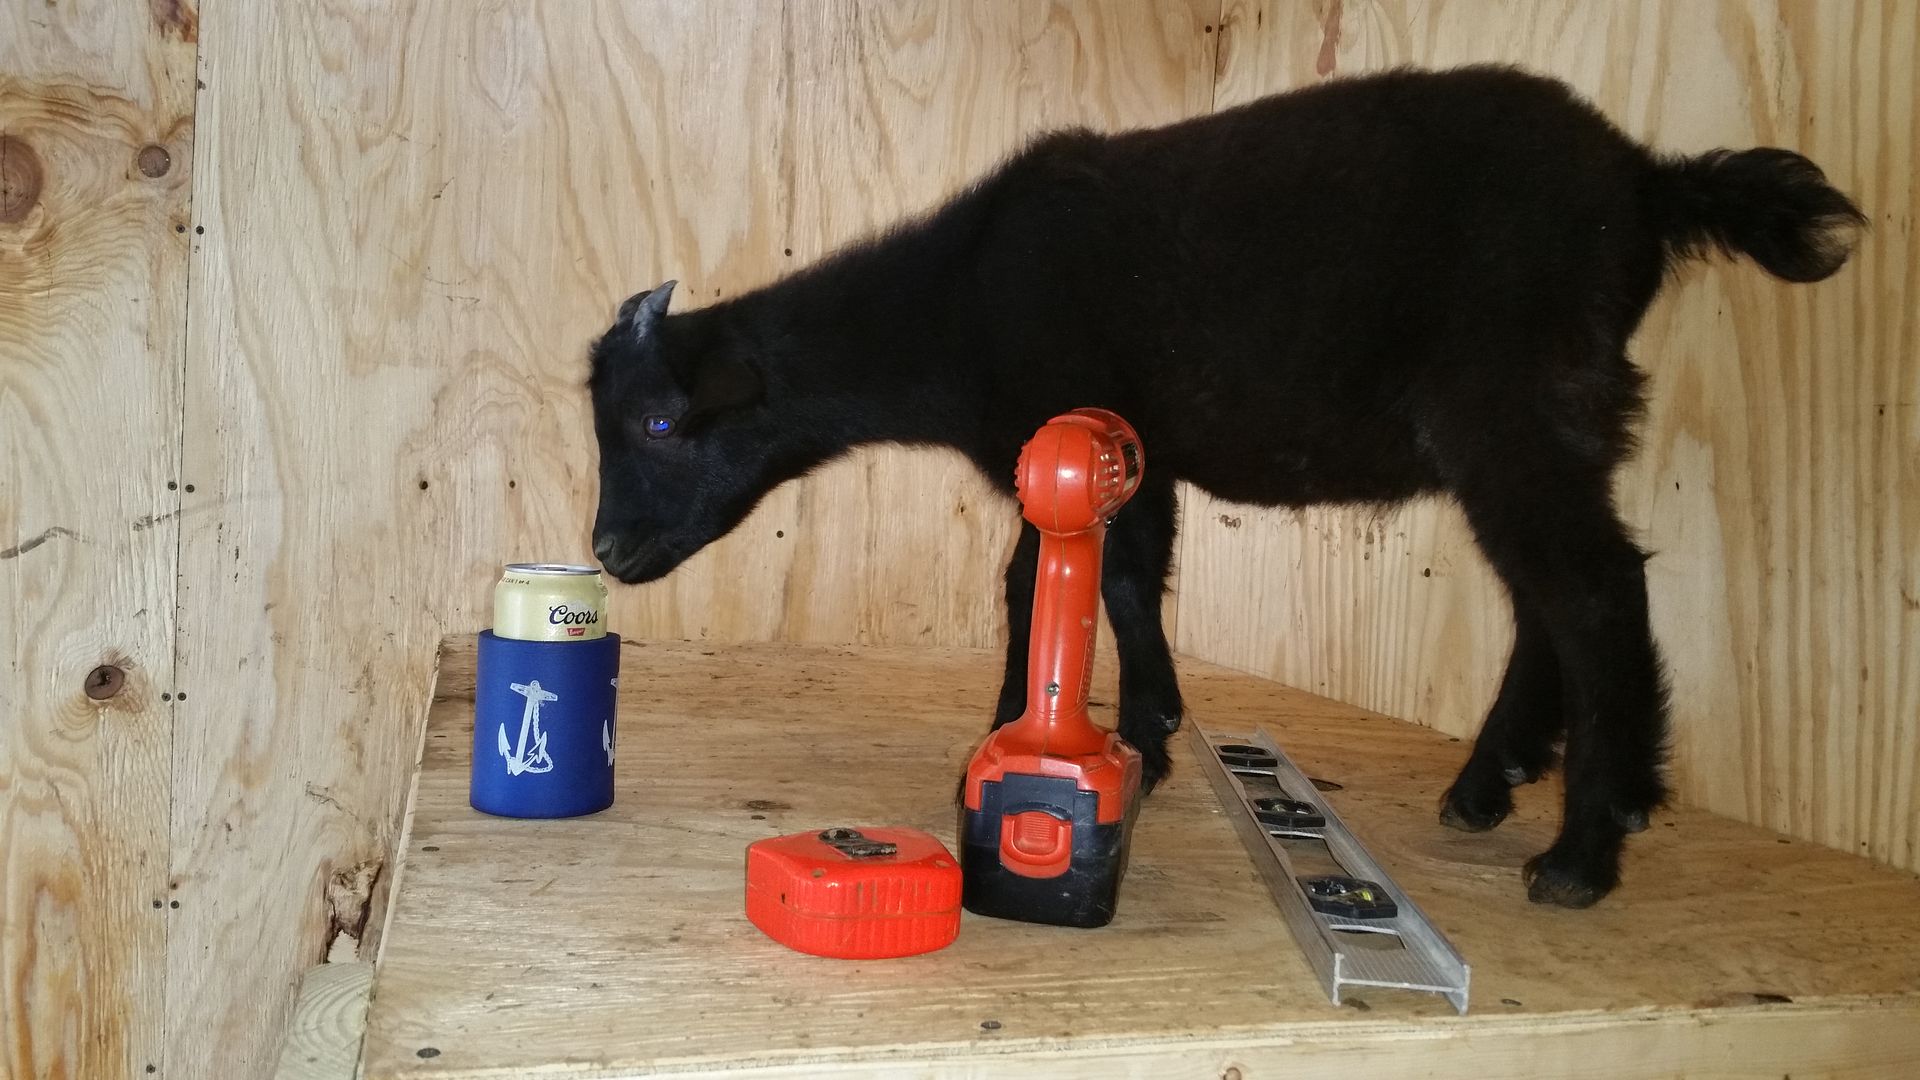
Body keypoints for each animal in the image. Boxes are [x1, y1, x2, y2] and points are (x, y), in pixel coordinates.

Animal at [586, 65, 1864, 907]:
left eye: (658, 422)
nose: (605, 550)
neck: (958, 308)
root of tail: (1647, 184)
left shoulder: (1093, 433)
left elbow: (1091, 583)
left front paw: (1102, 735)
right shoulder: (1092, 459)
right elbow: (1076, 583)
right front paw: (1078, 726)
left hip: (1510, 396)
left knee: (1593, 590)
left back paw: (1586, 846)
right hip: (1552, 416)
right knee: (1549, 594)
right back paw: (1494, 783)